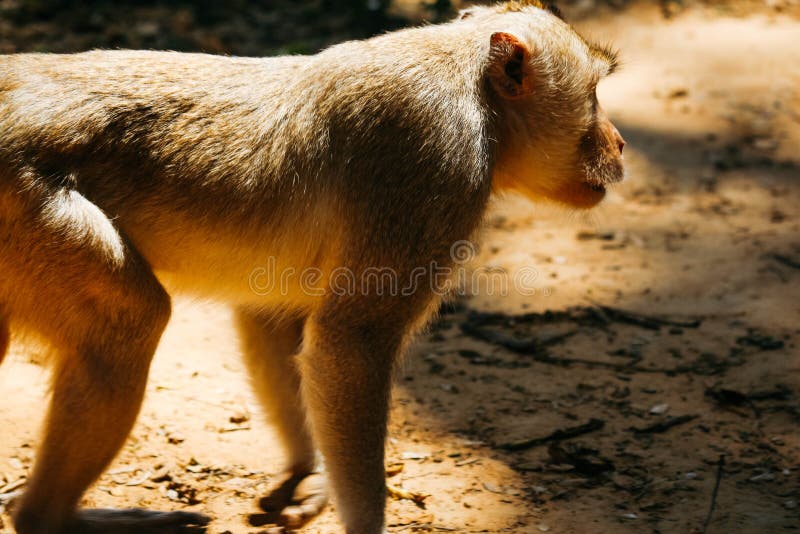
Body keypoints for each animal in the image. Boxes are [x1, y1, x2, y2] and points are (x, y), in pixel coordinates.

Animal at [0, 1, 624, 534]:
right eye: (594, 94)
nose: (618, 142)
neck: (470, 81)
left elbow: (274, 317)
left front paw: (308, 473)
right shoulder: (435, 166)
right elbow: (349, 346)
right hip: (29, 206)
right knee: (132, 318)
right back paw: (47, 519)